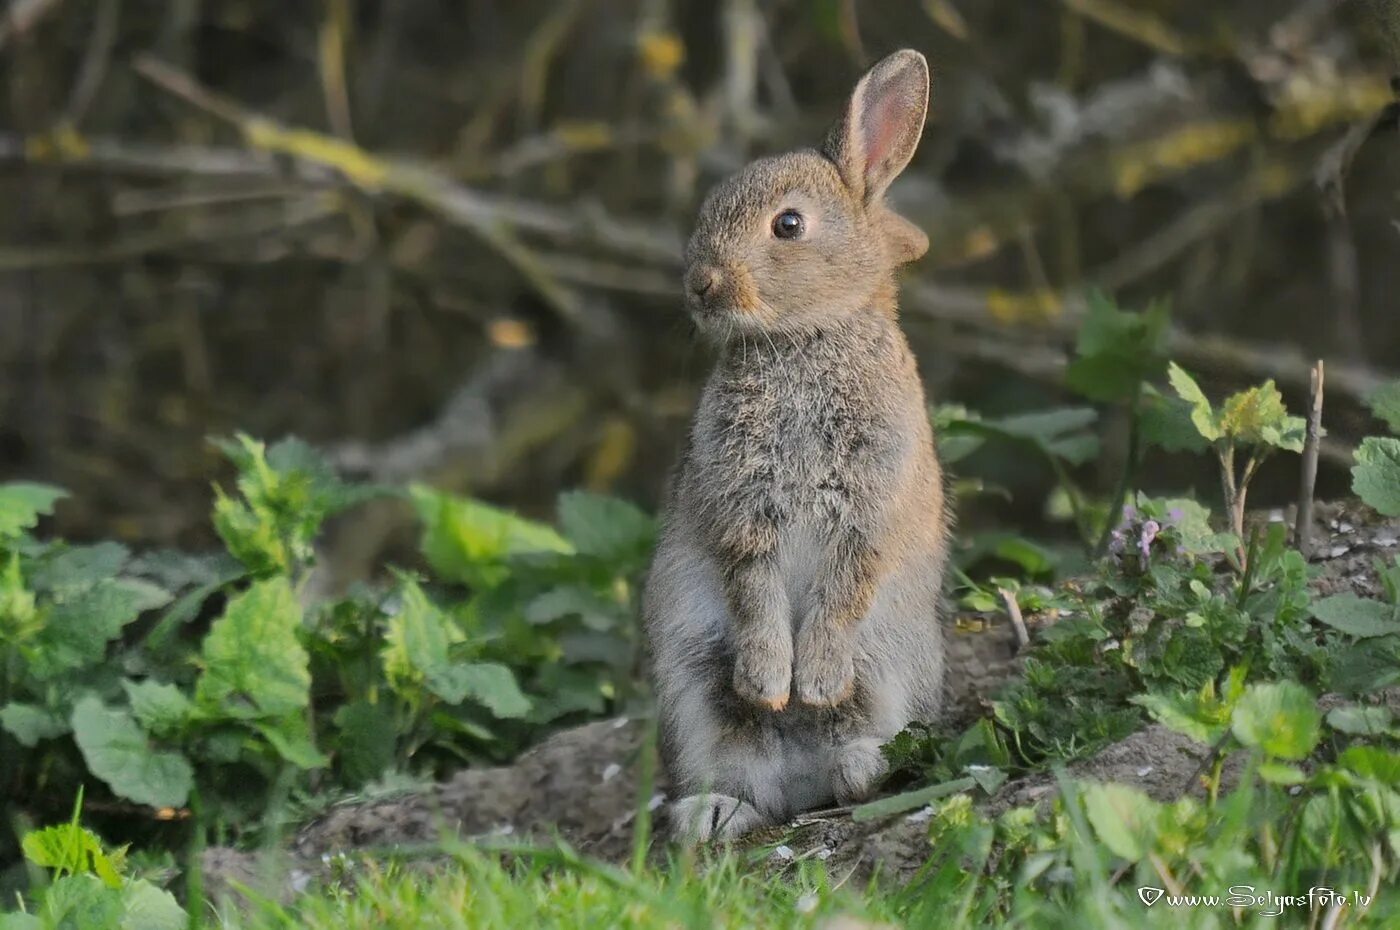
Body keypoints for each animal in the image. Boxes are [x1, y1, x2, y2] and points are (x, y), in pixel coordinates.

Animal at [644, 47, 952, 840]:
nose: (701, 285)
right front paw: (769, 683)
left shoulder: (869, 506)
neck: (806, 338)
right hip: (691, 688)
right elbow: (752, 589)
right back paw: (716, 811)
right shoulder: (742, 506)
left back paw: (858, 767)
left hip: (895, 669)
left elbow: (845, 590)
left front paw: (810, 684)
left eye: (788, 224)